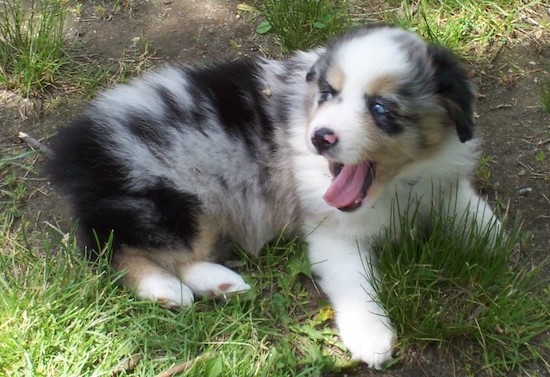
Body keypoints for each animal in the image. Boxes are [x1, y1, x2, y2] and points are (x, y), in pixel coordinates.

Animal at [48, 25, 500, 368]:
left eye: (381, 109)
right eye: (327, 94)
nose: (320, 137)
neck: (394, 182)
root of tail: (79, 148)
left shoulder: (437, 175)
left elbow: (465, 206)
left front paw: (486, 233)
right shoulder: (331, 230)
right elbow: (355, 282)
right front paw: (371, 337)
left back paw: (221, 284)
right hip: (177, 198)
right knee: (120, 249)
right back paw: (166, 289)